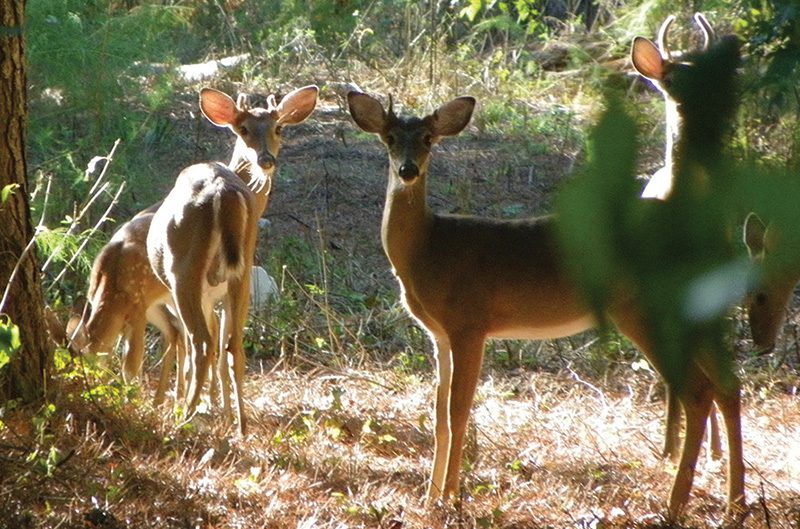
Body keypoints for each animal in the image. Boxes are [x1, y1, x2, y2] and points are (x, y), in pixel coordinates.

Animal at [147, 85, 318, 434]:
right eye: (244, 129)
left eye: (278, 128)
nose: (266, 159)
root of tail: (222, 190)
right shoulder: (219, 292)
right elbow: (220, 341)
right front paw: (221, 411)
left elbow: (189, 344)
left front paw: (197, 403)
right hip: (241, 272)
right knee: (233, 345)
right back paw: (240, 424)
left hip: (183, 271)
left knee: (200, 343)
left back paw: (184, 418)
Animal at [347, 41, 745, 518]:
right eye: (389, 137)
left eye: (428, 139)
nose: (407, 170)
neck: (428, 250)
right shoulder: (438, 333)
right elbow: (439, 414)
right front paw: (430, 497)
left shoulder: (469, 323)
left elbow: (459, 412)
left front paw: (451, 499)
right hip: (691, 307)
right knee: (727, 384)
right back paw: (735, 503)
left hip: (643, 307)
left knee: (698, 391)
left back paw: (674, 506)